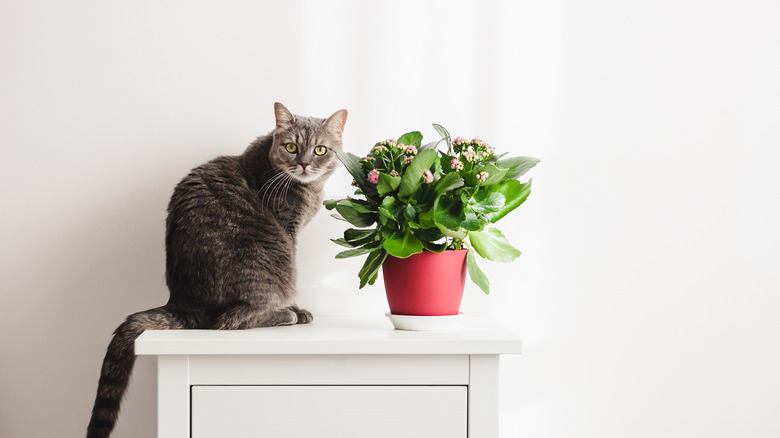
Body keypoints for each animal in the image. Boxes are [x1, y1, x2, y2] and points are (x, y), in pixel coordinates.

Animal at [84, 103, 348, 438]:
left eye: (320, 150)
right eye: (291, 147)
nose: (303, 163)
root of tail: (182, 305)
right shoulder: (289, 232)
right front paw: (296, 307)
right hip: (271, 262)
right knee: (230, 321)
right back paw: (287, 314)